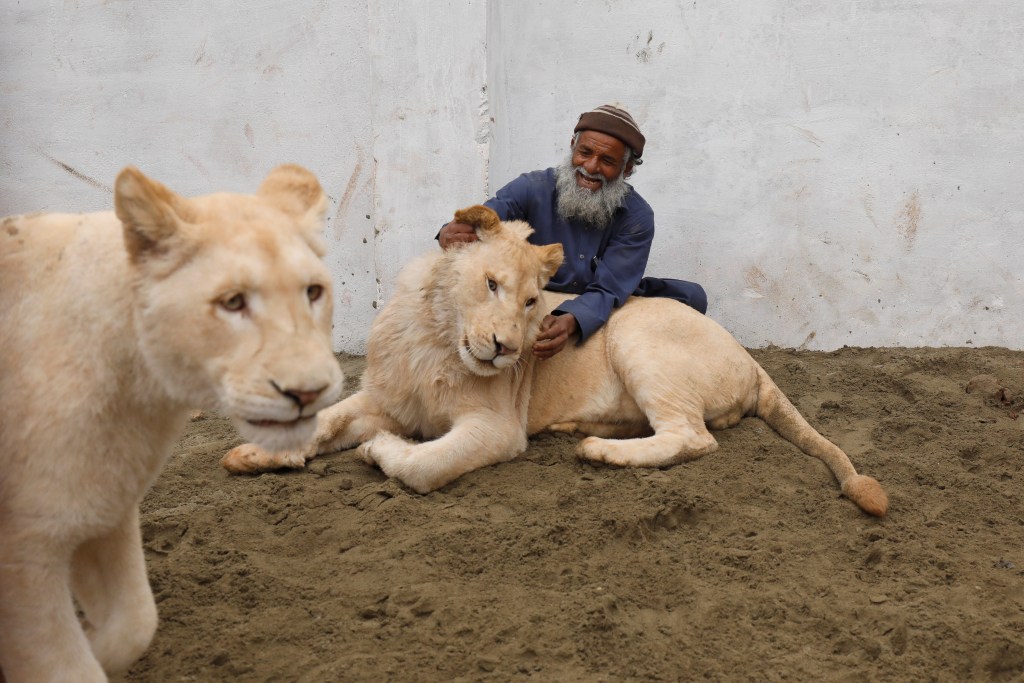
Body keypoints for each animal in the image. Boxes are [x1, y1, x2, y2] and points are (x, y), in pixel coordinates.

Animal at [0, 165, 344, 683]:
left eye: (313, 292)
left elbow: (136, 622)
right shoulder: (26, 554)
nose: (307, 393)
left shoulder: (104, 508)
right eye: (232, 302)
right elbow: (66, 666)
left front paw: (97, 646)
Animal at [226, 204, 888, 518]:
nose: (506, 349)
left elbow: (423, 465)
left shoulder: (496, 428)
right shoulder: (387, 396)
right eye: (491, 284)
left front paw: (380, 452)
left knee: (693, 438)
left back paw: (598, 450)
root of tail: (753, 362)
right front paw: (256, 454)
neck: (436, 337)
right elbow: (329, 419)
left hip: (638, 337)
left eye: (529, 301)